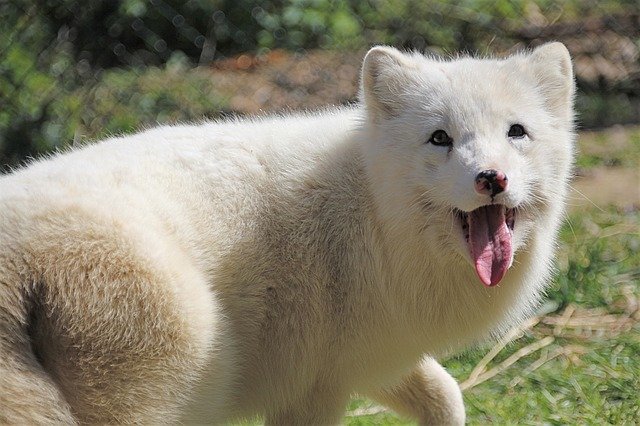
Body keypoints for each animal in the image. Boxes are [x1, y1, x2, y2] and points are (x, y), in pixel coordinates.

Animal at [0, 43, 576, 422]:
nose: (492, 179)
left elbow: (447, 395)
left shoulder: (371, 360)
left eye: (516, 132)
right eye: (440, 138)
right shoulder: (310, 392)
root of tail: (16, 259)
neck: (371, 212)